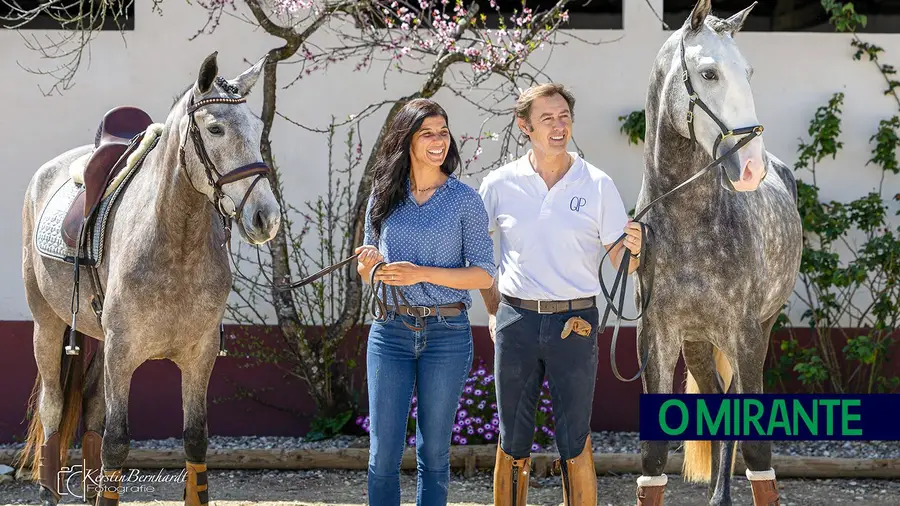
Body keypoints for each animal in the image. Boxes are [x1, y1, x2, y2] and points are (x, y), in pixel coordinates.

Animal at [21, 52, 282, 506]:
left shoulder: (199, 354)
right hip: (47, 324)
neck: (175, 243)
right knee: (53, 407)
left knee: (90, 407)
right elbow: (116, 444)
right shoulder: (122, 352)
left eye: (255, 127)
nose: (265, 218)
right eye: (215, 128)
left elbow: (195, 441)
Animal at [632, 0, 800, 506]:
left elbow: (759, 454)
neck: (690, 223)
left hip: (758, 332)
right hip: (699, 344)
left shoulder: (745, 333)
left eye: (748, 72)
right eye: (708, 73)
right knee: (717, 397)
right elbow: (652, 460)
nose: (751, 168)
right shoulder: (656, 337)